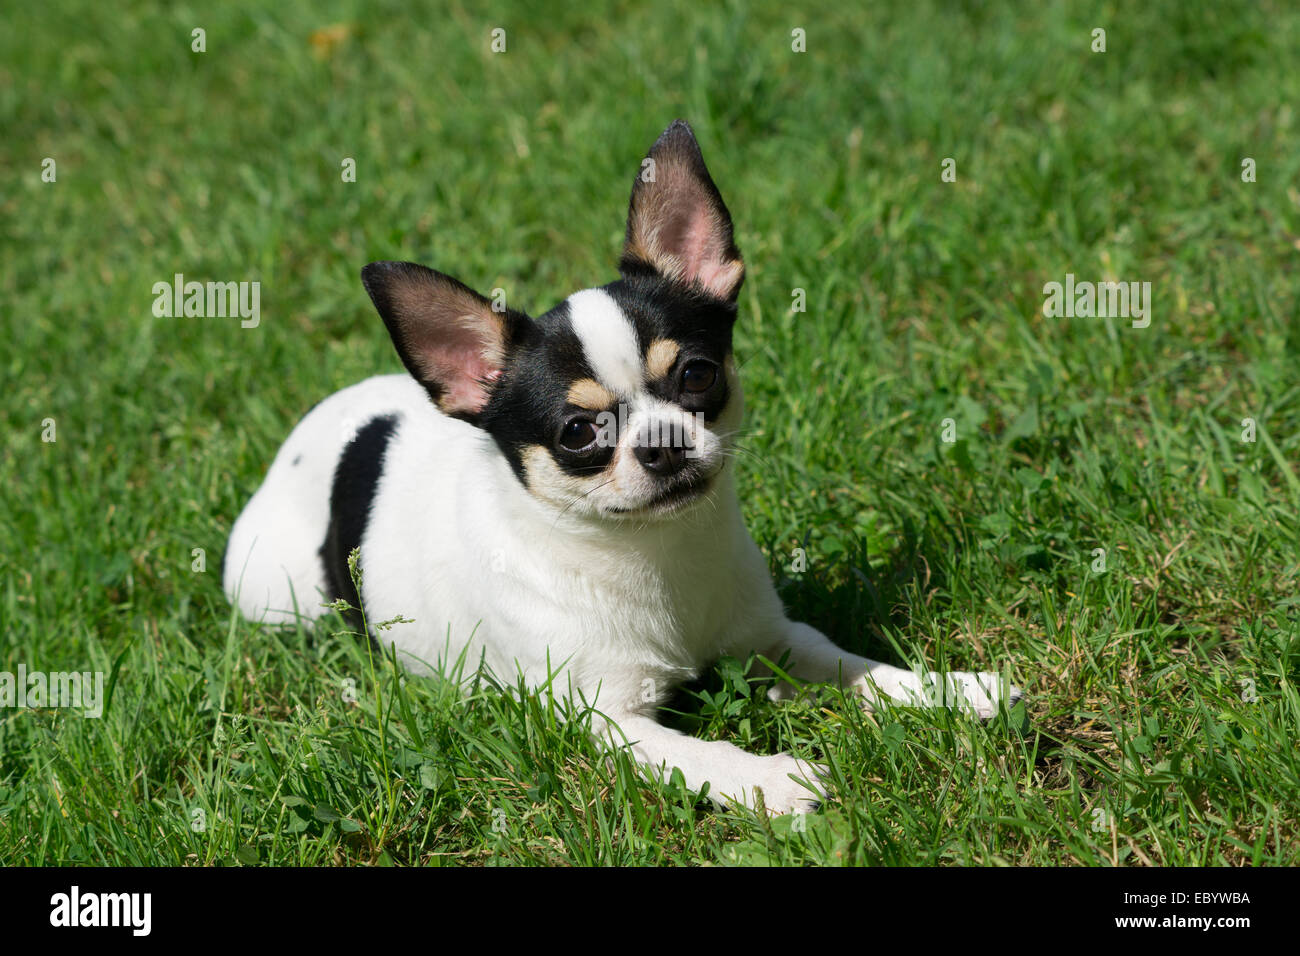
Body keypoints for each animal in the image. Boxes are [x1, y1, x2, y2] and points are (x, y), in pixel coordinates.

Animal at [226, 117, 1024, 806]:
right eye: (579, 433)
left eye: (697, 375)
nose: (661, 441)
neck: (651, 555)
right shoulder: (609, 720)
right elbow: (705, 755)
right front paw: (776, 781)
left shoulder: (774, 641)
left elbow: (854, 666)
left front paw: (952, 690)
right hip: (277, 597)